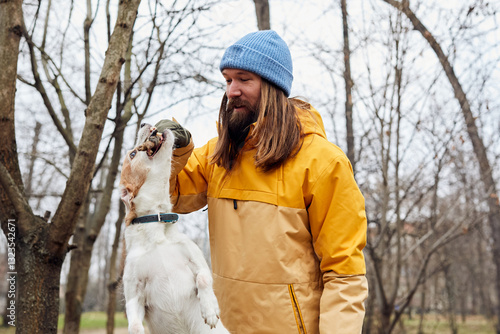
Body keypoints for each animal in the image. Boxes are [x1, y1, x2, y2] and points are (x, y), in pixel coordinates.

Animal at [119, 124, 229, 334]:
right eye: (133, 154)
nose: (144, 124)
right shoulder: (133, 294)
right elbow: (135, 326)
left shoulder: (198, 262)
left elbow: (203, 279)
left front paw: (210, 310)